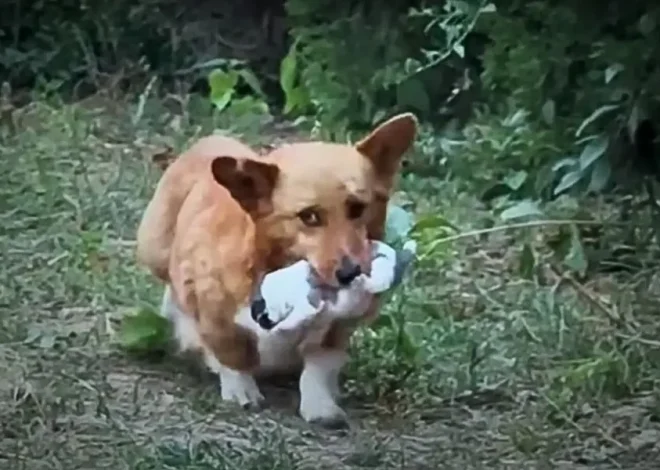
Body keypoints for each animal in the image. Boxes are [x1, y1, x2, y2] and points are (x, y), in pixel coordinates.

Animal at [135, 113, 418, 426]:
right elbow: (232, 354)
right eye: (309, 216)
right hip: (154, 249)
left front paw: (321, 405)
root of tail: (206, 142)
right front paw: (241, 390)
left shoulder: (338, 329)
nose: (350, 274)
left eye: (358, 208)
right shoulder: (214, 312)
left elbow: (319, 366)